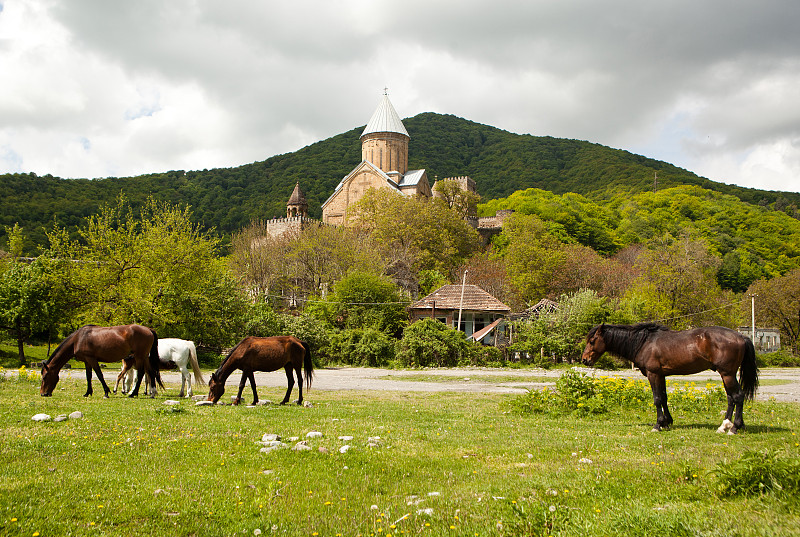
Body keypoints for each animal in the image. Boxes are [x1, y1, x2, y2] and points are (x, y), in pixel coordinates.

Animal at [580, 322, 756, 432]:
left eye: (592, 340)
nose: (584, 360)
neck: (644, 342)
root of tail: (741, 336)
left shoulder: (653, 374)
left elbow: (657, 399)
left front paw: (658, 425)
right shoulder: (661, 375)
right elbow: (664, 398)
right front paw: (667, 422)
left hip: (727, 374)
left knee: (738, 397)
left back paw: (735, 427)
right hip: (726, 375)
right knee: (731, 398)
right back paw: (725, 426)